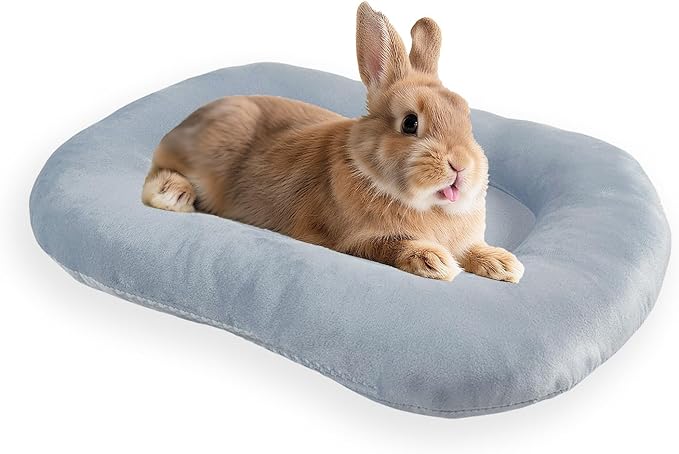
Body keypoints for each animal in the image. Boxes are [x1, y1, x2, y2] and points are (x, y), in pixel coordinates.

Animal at [141, 2, 524, 283]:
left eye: (466, 118)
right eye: (410, 123)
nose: (461, 165)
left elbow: (472, 249)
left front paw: (505, 265)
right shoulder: (353, 239)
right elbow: (391, 245)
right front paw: (434, 261)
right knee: (154, 176)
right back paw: (173, 194)